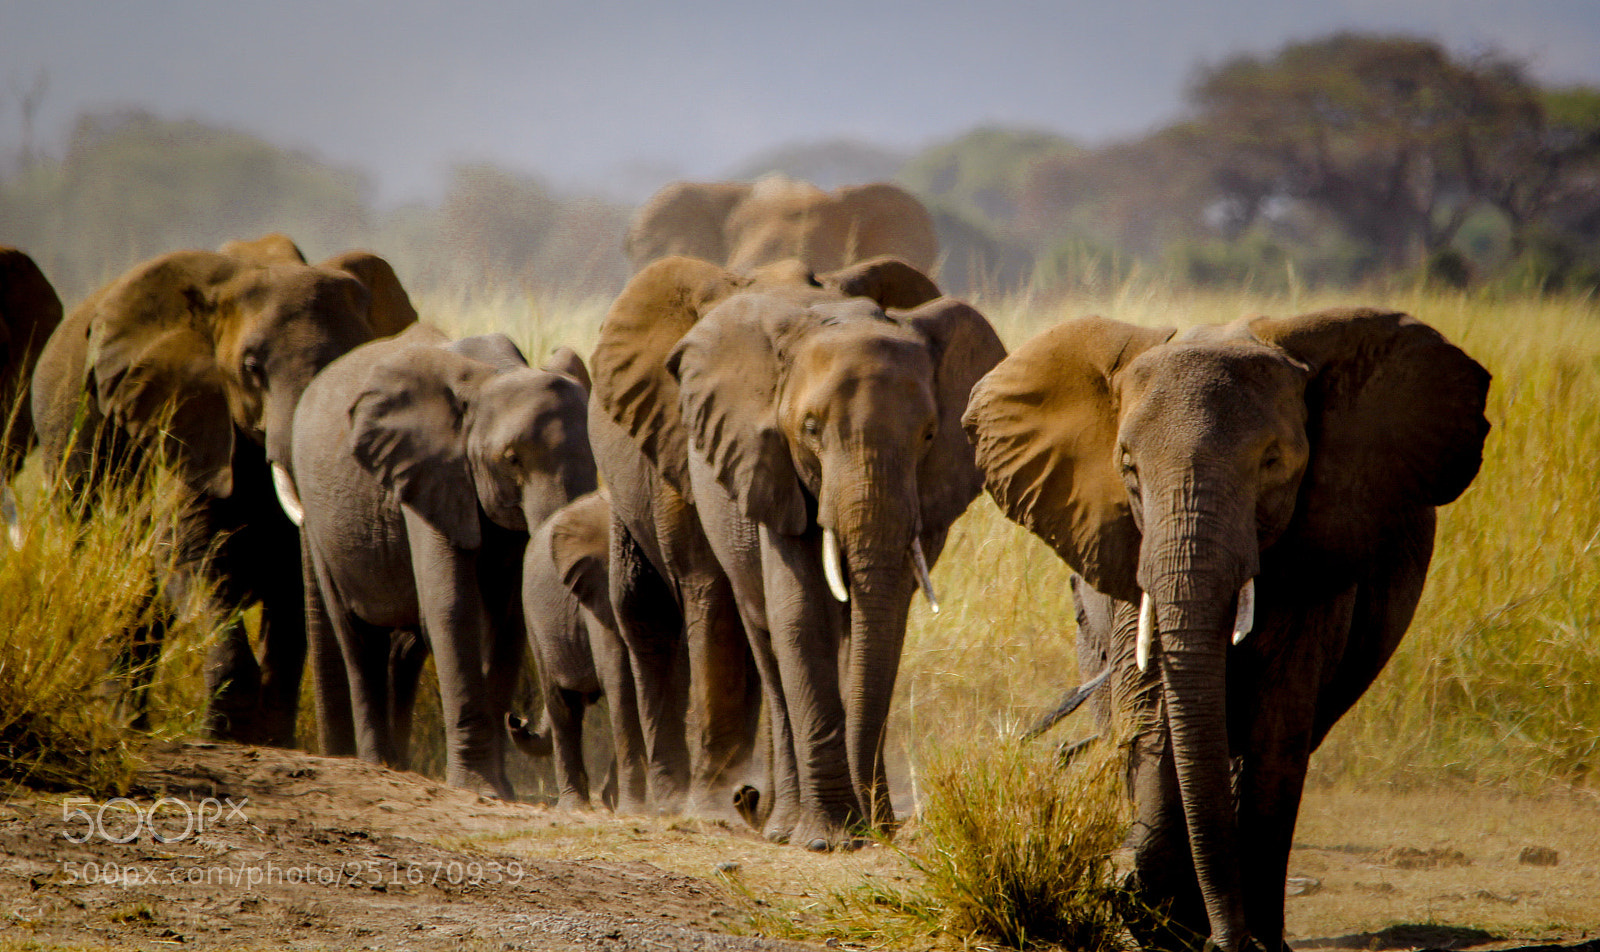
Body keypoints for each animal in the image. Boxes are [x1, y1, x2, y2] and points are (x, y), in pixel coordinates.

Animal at [29, 242, 416, 746]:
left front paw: (270, 740)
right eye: (251, 369)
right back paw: (124, 728)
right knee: (115, 574)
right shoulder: (189, 419)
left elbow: (291, 585)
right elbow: (190, 556)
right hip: (66, 430)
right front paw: (223, 736)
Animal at [289, 324, 595, 797]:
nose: (519, 720)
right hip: (319, 523)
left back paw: (398, 765)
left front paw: (500, 787)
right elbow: (452, 606)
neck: (495, 375)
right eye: (511, 459)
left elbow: (509, 619)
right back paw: (378, 765)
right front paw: (480, 789)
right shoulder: (427, 471)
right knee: (356, 637)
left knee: (404, 646)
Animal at [507, 489, 650, 813]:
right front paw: (633, 808)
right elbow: (621, 681)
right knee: (563, 705)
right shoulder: (600, 592)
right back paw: (576, 807)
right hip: (535, 619)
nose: (515, 719)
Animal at [592, 253, 1003, 848]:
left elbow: (881, 621)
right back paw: (774, 821)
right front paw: (829, 838)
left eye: (928, 435)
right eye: (810, 429)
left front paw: (867, 828)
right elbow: (799, 613)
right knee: (746, 630)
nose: (881, 826)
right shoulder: (762, 461)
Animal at [961, 309, 1491, 951]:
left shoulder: (1313, 560)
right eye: (1128, 468)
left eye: (1272, 463)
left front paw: (1252, 944)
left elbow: (1277, 728)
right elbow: (1151, 711)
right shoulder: (1127, 554)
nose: (1227, 941)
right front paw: (1157, 917)